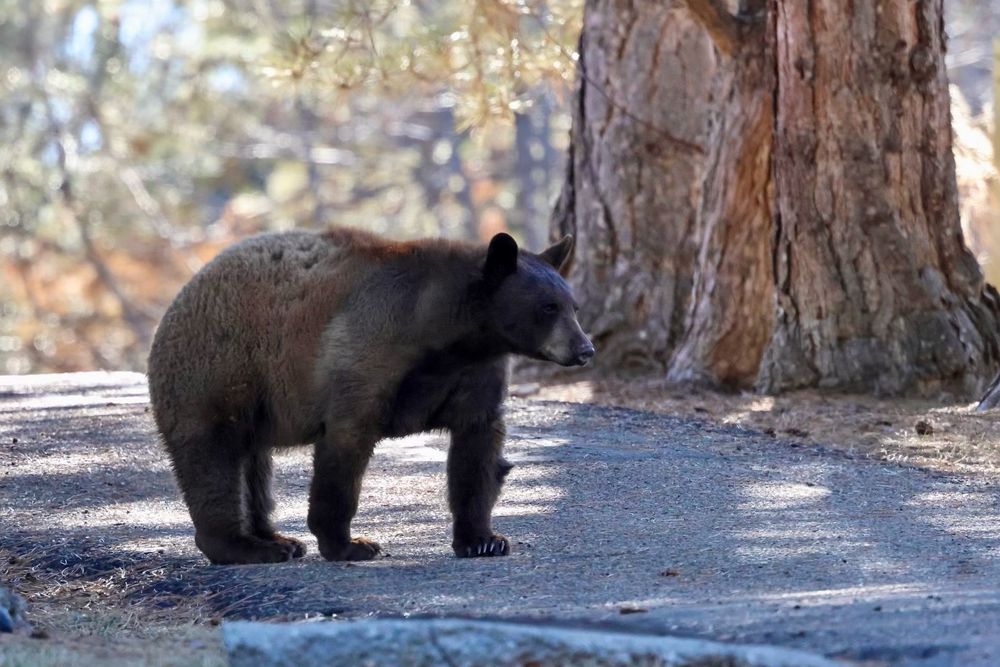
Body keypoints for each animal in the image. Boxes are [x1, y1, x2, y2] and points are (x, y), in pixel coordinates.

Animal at [146, 227, 594, 565]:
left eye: (574, 306)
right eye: (548, 307)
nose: (585, 349)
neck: (448, 336)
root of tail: (179, 298)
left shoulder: (476, 373)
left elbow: (478, 448)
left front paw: (482, 539)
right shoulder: (371, 350)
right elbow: (347, 443)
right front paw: (350, 544)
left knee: (254, 469)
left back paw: (276, 539)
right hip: (215, 374)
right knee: (214, 461)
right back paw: (245, 547)